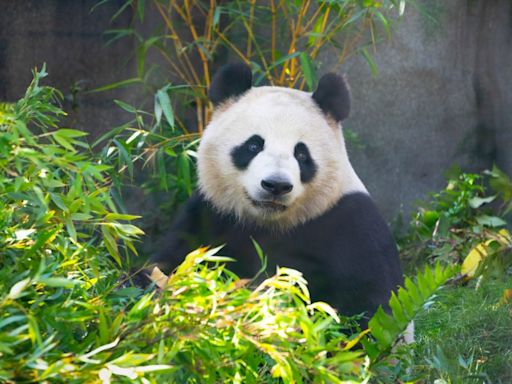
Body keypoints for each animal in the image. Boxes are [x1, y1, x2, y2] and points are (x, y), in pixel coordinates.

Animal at [153, 63, 404, 328]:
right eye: (254, 145)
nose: (276, 185)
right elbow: (167, 268)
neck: (269, 222)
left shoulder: (351, 224)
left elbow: (374, 308)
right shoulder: (211, 212)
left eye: (302, 154)